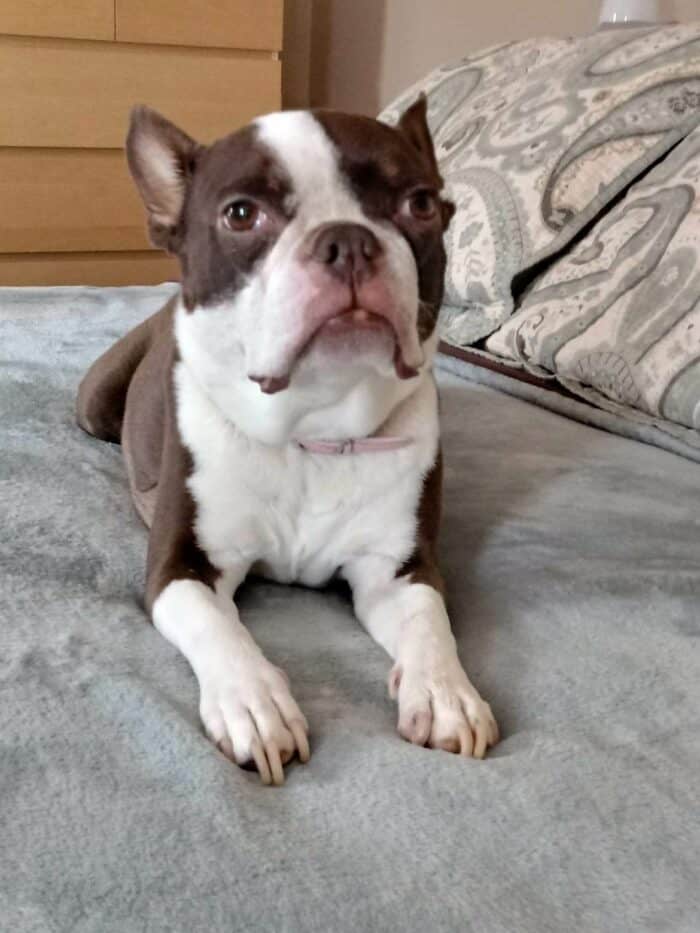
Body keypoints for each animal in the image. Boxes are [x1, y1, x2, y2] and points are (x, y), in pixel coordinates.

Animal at [76, 98, 498, 784]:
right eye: (241, 214)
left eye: (420, 205)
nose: (348, 240)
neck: (313, 429)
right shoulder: (181, 566)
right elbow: (219, 628)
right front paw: (253, 703)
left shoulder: (397, 570)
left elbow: (431, 624)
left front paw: (445, 693)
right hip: (94, 404)